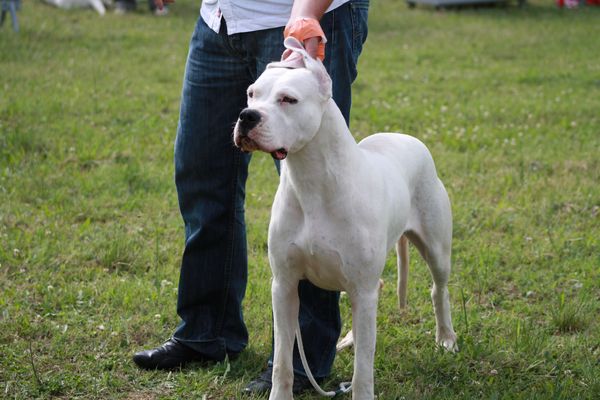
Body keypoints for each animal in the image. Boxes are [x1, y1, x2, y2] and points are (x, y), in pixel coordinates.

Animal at [233, 36, 454, 396]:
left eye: (288, 99)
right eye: (252, 93)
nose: (246, 115)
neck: (312, 181)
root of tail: (407, 137)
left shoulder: (361, 289)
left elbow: (363, 370)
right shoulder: (284, 285)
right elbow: (282, 361)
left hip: (435, 249)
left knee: (439, 289)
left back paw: (446, 338)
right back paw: (351, 337)